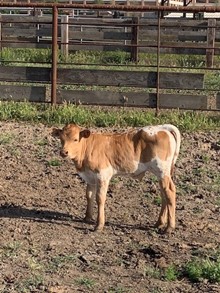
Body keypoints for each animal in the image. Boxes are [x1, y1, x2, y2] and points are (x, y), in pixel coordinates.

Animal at [52, 123, 181, 233]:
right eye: (61, 139)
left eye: (75, 139)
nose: (64, 152)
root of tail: (162, 127)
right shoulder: (89, 177)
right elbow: (89, 196)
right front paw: (87, 217)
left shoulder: (103, 175)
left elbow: (100, 198)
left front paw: (99, 225)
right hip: (161, 174)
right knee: (164, 194)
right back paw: (159, 223)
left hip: (162, 170)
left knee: (170, 191)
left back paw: (169, 227)